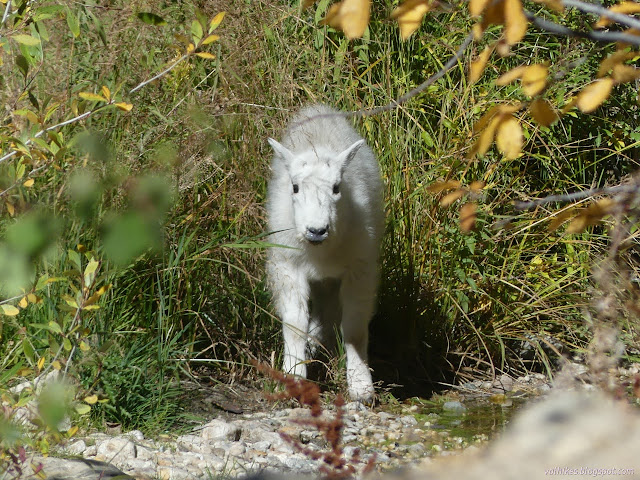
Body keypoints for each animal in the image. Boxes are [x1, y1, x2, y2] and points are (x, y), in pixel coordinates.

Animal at [266, 105, 382, 402]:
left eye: (336, 187)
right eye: (295, 187)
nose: (316, 230)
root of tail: (317, 110)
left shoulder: (359, 269)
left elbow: (353, 327)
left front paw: (361, 387)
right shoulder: (288, 266)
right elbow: (295, 324)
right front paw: (294, 377)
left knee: (329, 316)